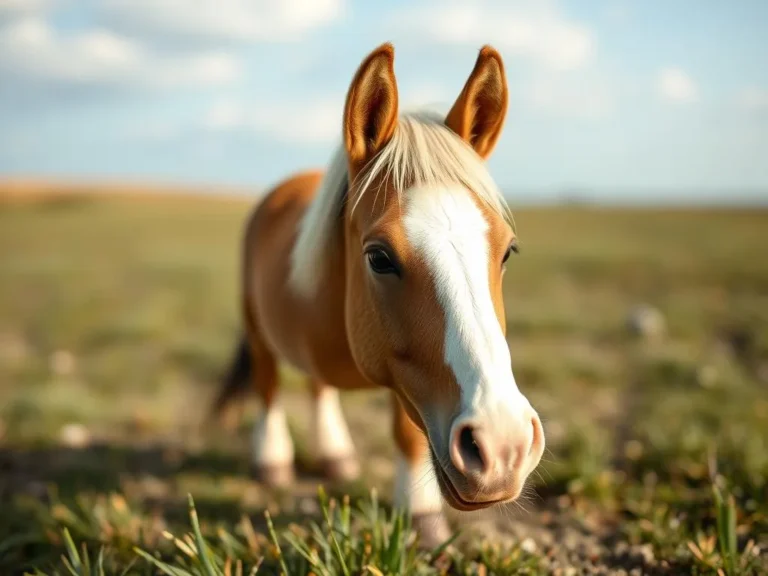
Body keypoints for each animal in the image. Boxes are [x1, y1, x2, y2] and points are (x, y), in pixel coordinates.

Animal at [213, 41, 544, 544]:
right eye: (379, 258)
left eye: (508, 251)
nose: (503, 445)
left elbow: (408, 433)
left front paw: (420, 517)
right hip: (256, 327)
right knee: (269, 384)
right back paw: (272, 460)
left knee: (317, 385)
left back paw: (335, 454)